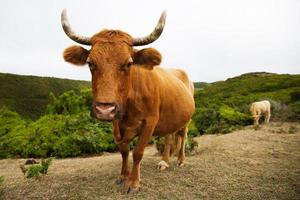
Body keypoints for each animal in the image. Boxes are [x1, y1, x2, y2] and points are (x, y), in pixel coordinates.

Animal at [62, 9, 196, 194]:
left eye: (129, 63)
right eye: (90, 63)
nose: (104, 109)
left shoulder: (150, 121)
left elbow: (138, 152)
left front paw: (133, 182)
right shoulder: (116, 122)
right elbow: (124, 151)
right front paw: (123, 176)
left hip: (186, 119)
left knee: (182, 136)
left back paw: (181, 160)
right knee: (169, 136)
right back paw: (164, 162)